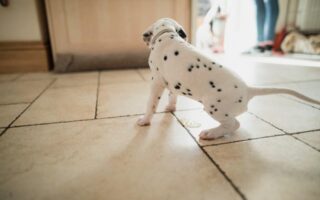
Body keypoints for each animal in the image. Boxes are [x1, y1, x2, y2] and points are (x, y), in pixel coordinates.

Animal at [137, 18, 320, 141]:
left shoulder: (156, 82)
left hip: (214, 107)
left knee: (233, 124)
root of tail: (248, 89)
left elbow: (151, 104)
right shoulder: (171, 82)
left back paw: (211, 133)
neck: (168, 35)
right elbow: (172, 95)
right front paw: (170, 107)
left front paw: (145, 120)